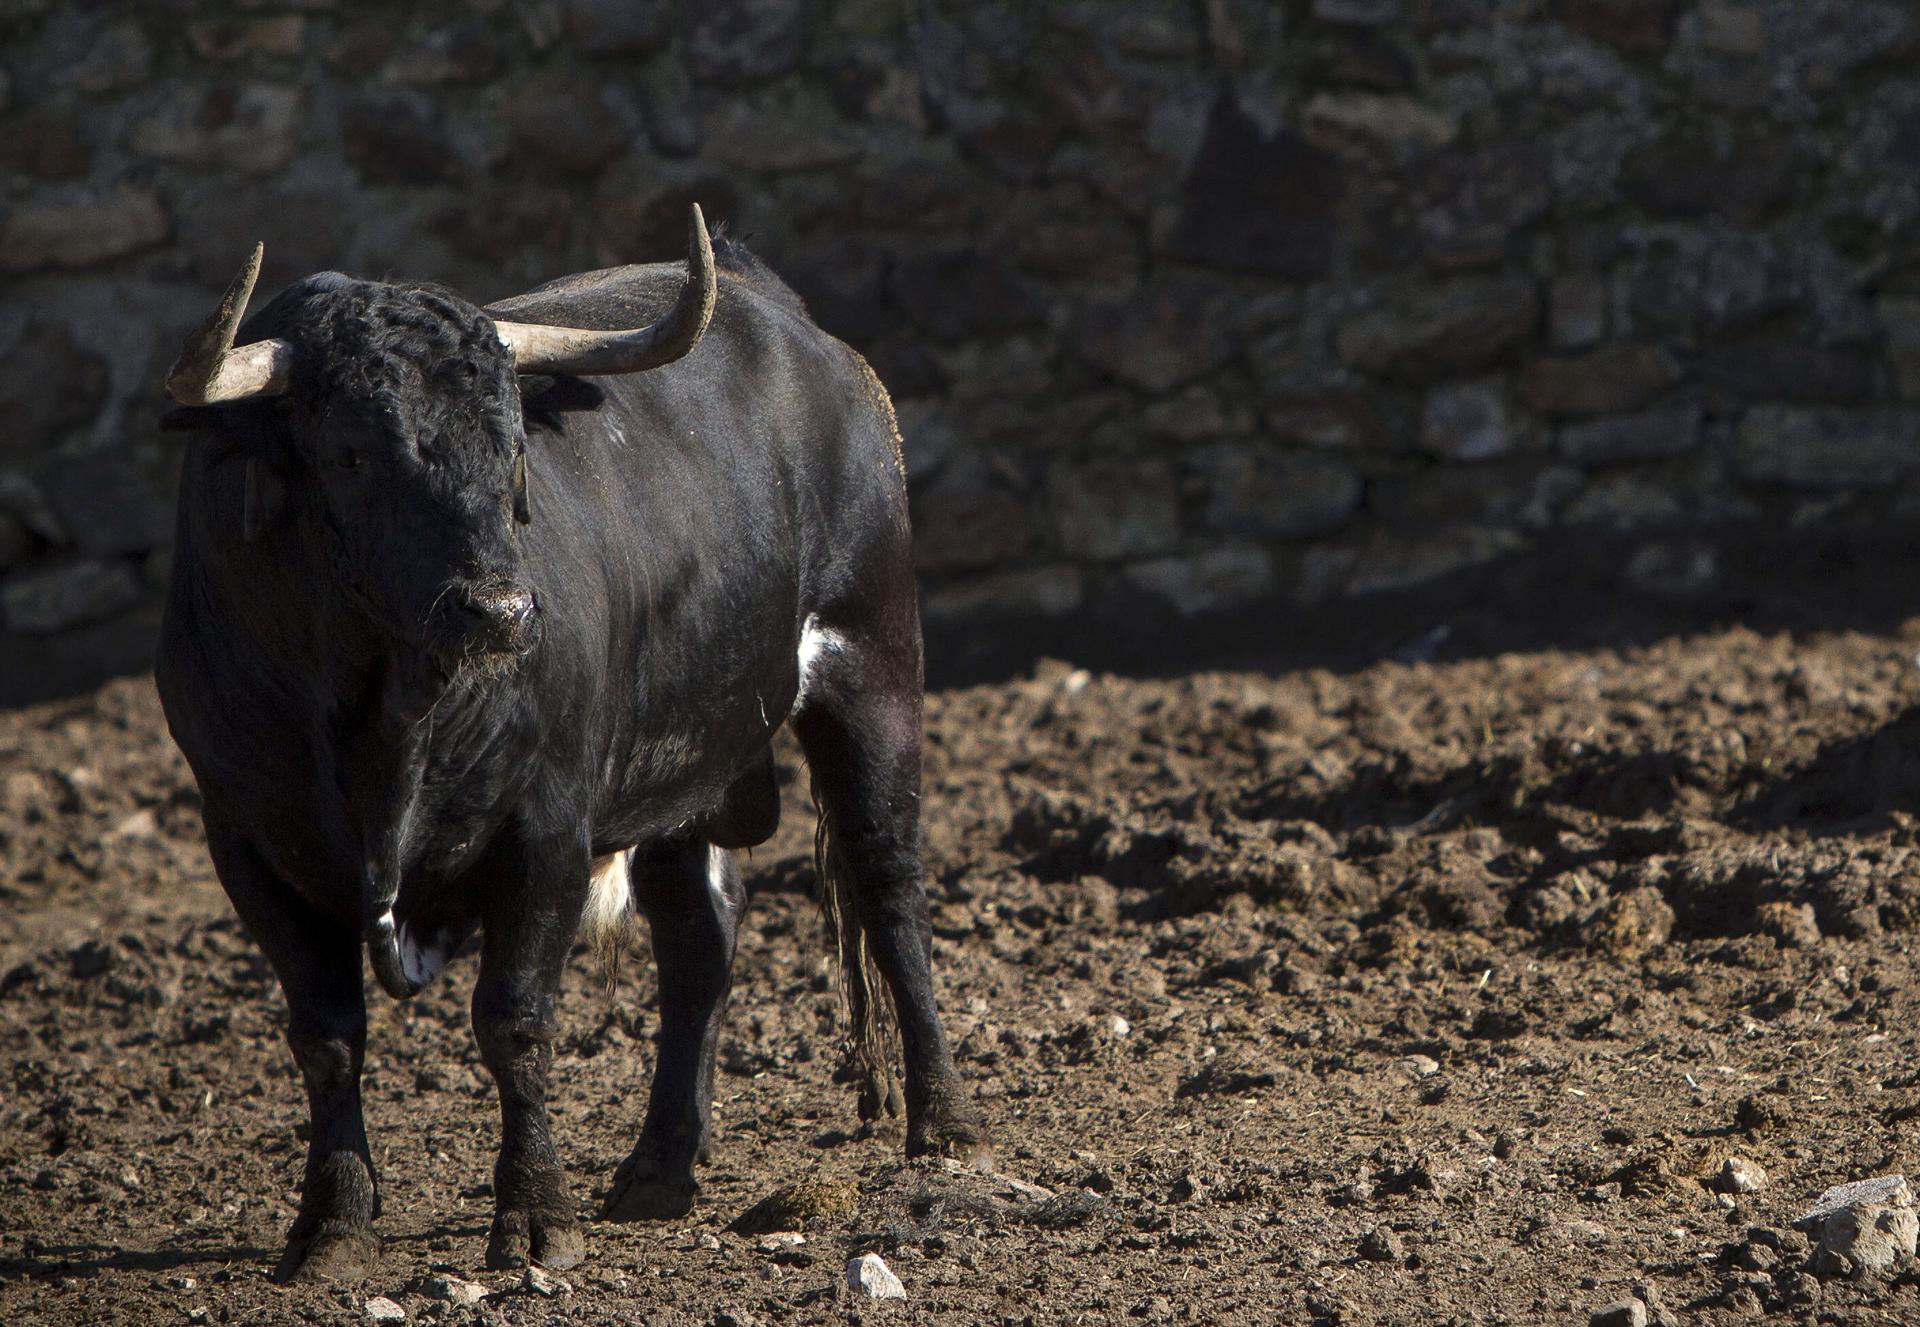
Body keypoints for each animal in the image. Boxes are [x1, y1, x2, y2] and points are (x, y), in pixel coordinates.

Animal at [155, 213, 990, 1282]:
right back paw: (658, 1168)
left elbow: (515, 1022)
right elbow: (327, 1036)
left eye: (513, 446)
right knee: (699, 942)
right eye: (351, 453)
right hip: (681, 769)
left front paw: (534, 1215)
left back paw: (945, 1125)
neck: (385, 721)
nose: (501, 607)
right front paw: (333, 1222)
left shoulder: (546, 830)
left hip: (872, 669)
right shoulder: (249, 847)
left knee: (889, 887)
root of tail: (792, 323)